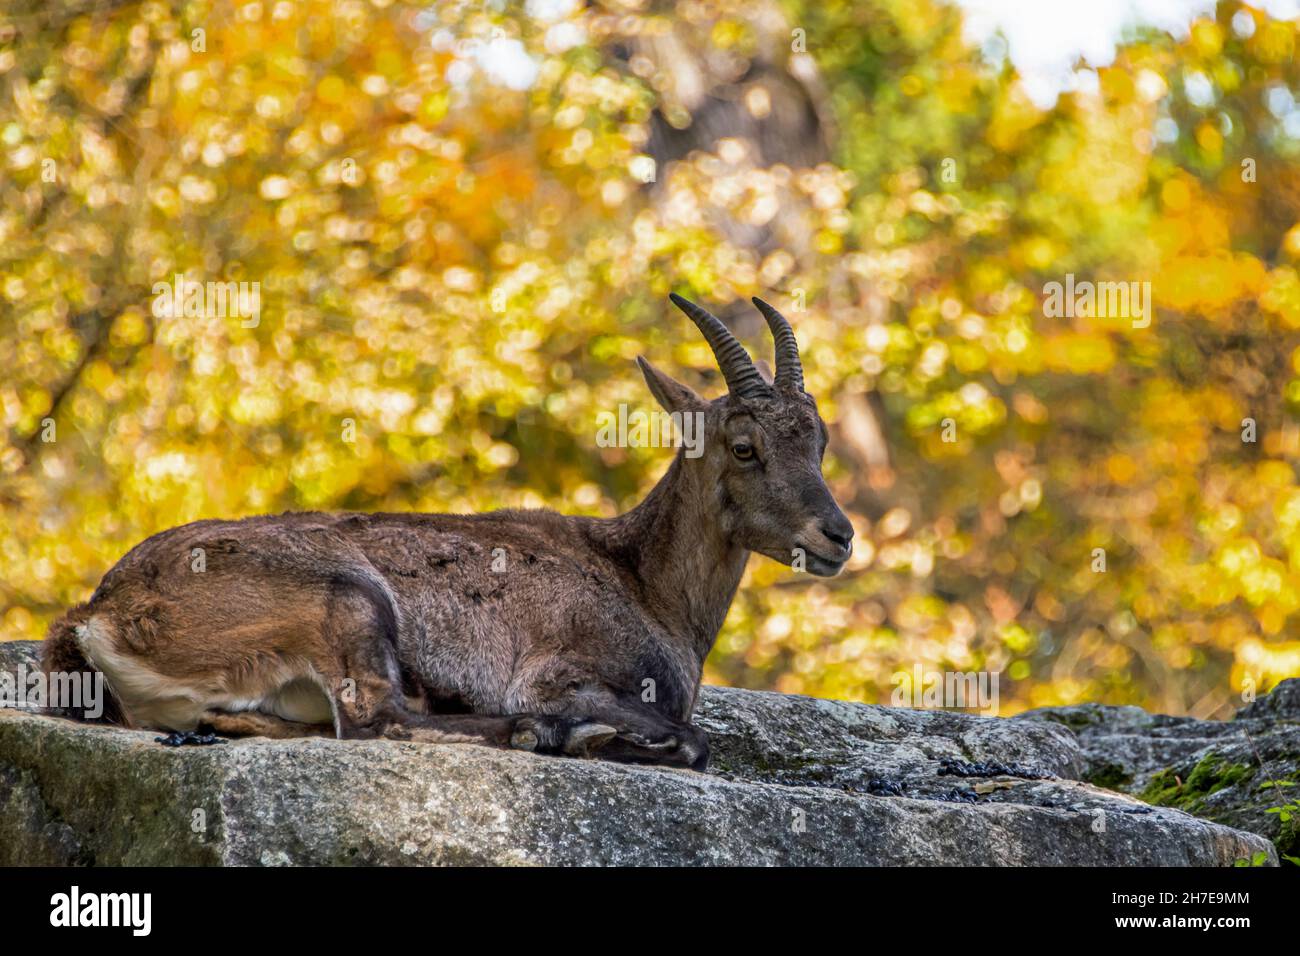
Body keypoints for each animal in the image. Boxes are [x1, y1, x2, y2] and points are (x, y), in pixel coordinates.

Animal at [40, 295, 852, 775]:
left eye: (819, 439)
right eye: (743, 446)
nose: (838, 535)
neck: (644, 583)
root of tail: (96, 617)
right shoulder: (559, 670)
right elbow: (692, 738)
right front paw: (599, 733)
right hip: (347, 598)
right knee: (378, 721)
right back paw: (543, 734)